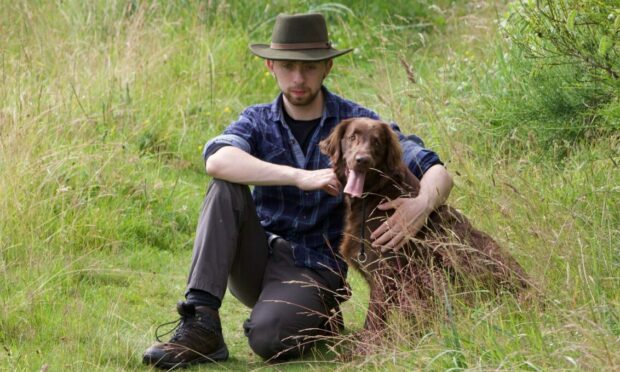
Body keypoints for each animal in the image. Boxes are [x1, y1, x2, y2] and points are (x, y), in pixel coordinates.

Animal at [320, 118, 528, 338]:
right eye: (352, 137)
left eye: (377, 142)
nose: (362, 160)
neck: (373, 195)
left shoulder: (385, 274)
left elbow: (373, 323)